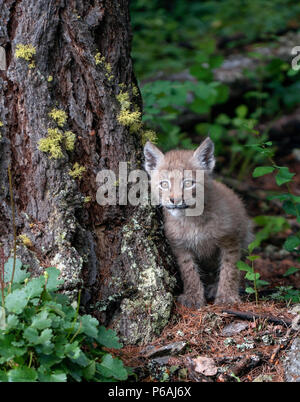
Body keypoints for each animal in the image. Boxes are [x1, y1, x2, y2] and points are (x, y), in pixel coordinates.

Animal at [144, 137, 252, 308]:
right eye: (164, 184)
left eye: (189, 183)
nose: (174, 200)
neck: (191, 219)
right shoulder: (179, 245)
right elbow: (189, 271)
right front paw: (193, 297)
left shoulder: (230, 239)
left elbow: (230, 268)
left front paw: (226, 297)